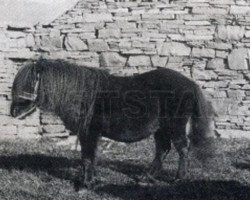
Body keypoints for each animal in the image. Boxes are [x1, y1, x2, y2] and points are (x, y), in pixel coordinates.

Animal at [10, 58, 216, 189]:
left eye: (32, 82)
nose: (13, 112)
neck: (82, 95)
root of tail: (190, 84)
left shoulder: (90, 133)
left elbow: (87, 157)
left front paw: (87, 184)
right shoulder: (89, 134)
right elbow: (89, 157)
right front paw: (90, 180)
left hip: (175, 127)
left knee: (182, 150)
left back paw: (178, 179)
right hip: (161, 129)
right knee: (162, 150)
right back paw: (146, 177)